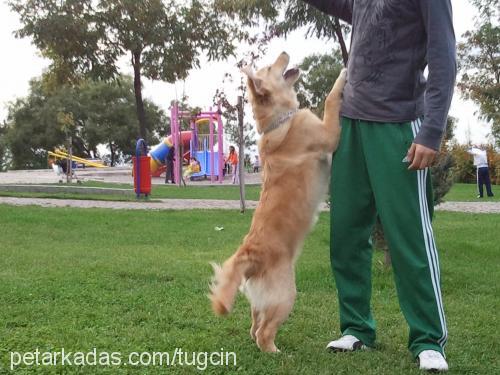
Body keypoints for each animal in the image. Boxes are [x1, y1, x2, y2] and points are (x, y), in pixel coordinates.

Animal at [209, 52, 346, 352]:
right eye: (271, 67)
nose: (284, 53)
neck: (281, 121)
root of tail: (249, 253)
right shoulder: (328, 133)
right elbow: (331, 98)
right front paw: (343, 74)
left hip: (262, 300)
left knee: (254, 324)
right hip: (286, 295)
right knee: (263, 332)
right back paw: (275, 352)